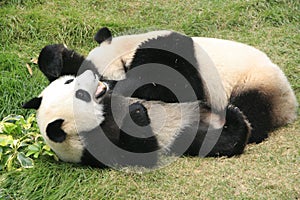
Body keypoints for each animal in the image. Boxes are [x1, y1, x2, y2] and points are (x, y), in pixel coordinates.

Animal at [22, 69, 251, 168]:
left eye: (69, 81)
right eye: (81, 95)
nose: (90, 74)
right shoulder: (96, 147)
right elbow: (141, 154)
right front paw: (137, 112)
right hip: (185, 134)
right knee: (214, 141)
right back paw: (235, 118)